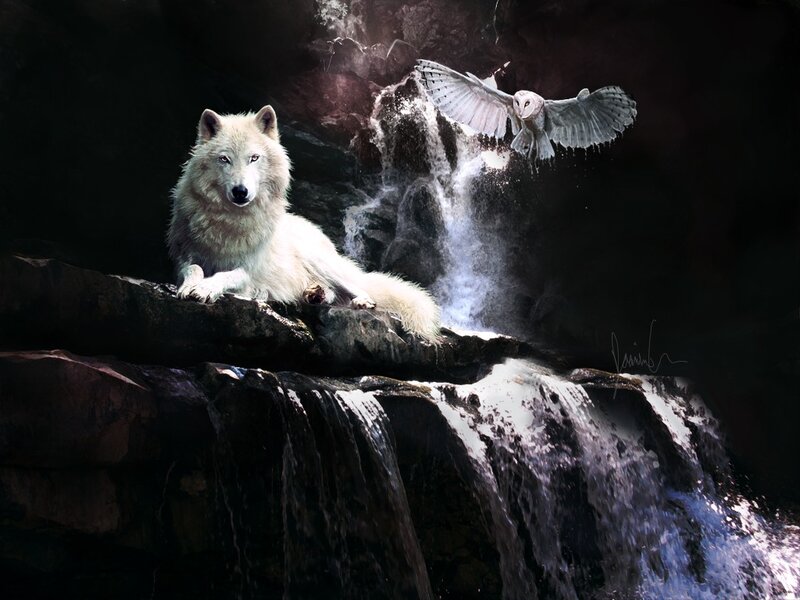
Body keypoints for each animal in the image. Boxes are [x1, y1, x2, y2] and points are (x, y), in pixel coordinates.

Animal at [167, 105, 440, 341]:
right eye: (224, 159)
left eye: (254, 158)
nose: (240, 192)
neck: (230, 221)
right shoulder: (184, 257)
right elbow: (194, 269)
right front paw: (190, 286)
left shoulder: (249, 270)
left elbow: (225, 275)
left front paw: (205, 289)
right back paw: (313, 294)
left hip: (320, 261)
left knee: (360, 288)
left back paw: (359, 300)